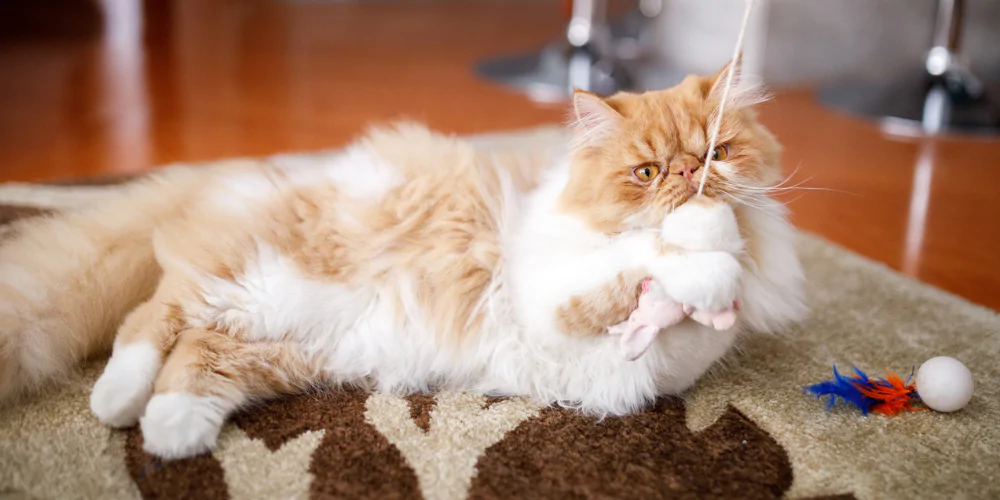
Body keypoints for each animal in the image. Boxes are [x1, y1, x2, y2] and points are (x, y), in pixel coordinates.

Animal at [0, 60, 804, 458]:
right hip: (255, 283)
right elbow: (641, 261)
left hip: (294, 343)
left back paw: (170, 432)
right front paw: (698, 250)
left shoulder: (669, 363)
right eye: (646, 171)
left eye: (717, 153)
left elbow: (692, 306)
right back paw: (117, 402)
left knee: (196, 355)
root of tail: (249, 174)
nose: (690, 177)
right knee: (151, 316)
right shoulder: (552, 291)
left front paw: (712, 254)